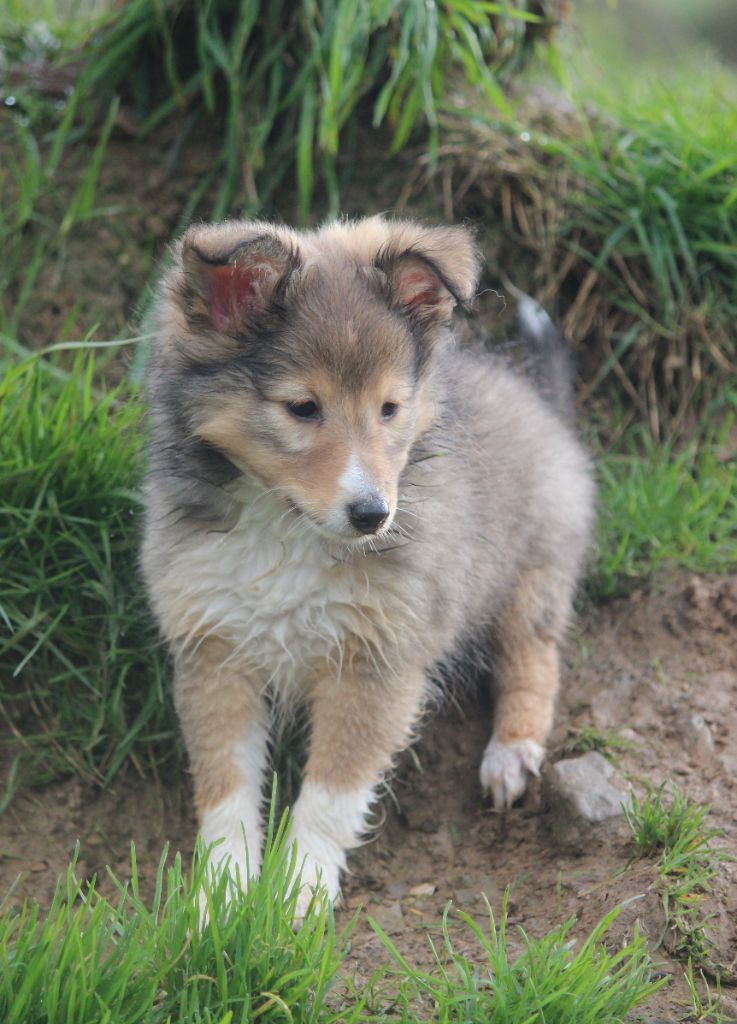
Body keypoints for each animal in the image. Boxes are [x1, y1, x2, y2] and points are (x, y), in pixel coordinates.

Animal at [141, 218, 597, 921]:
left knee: (533, 659)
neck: (287, 529)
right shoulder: (214, 652)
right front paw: (222, 900)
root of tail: (540, 399)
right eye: (303, 407)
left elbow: (331, 796)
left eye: (390, 409)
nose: (373, 515)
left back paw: (511, 754)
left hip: (535, 570)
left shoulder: (377, 663)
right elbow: (225, 790)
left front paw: (296, 898)